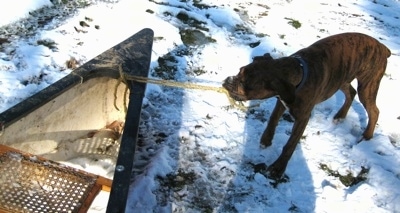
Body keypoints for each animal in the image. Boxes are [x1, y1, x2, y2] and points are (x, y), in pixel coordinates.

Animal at [223, 32, 392, 180]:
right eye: (239, 71)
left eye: (244, 84)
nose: (227, 80)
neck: (298, 72)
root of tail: (383, 47)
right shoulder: (282, 101)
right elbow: (273, 119)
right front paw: (266, 139)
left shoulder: (302, 117)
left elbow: (290, 144)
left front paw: (278, 168)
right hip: (340, 78)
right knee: (351, 92)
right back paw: (340, 116)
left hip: (367, 85)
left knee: (374, 110)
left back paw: (367, 135)